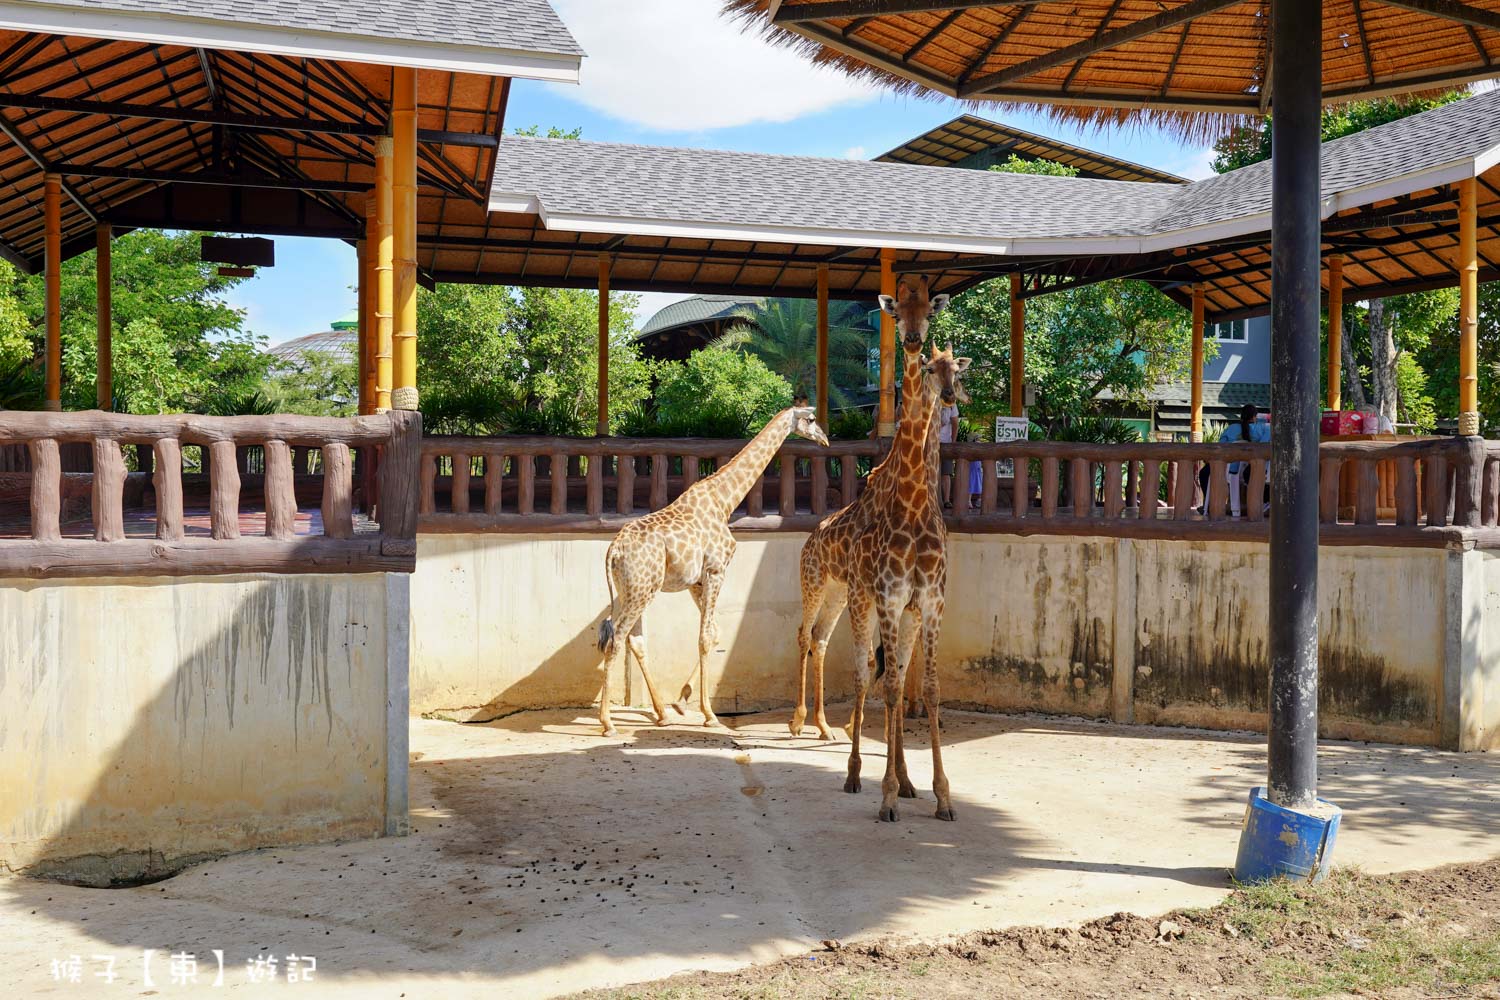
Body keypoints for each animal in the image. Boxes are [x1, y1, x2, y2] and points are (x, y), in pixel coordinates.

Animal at [597, 401, 834, 740]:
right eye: (811, 419)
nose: (825, 440)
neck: (725, 500)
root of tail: (613, 550)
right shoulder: (716, 570)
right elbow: (705, 637)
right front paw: (709, 714)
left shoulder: (696, 582)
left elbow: (714, 633)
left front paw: (682, 701)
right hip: (642, 590)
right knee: (616, 639)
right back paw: (608, 722)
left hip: (632, 590)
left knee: (632, 640)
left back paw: (661, 714)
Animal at [786, 277, 948, 740]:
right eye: (898, 313)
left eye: (927, 312)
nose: (912, 341)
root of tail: (809, 540)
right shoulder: (889, 595)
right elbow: (882, 663)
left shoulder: (922, 596)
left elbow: (894, 664)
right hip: (816, 583)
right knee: (805, 634)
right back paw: (801, 720)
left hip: (840, 592)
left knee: (822, 638)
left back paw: (826, 725)